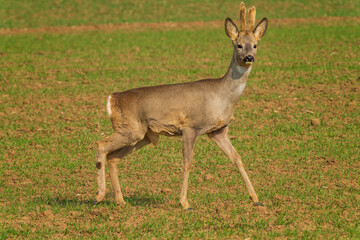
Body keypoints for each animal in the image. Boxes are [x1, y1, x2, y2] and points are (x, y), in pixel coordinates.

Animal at [94, 1, 268, 209]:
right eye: (238, 45)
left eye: (255, 45)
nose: (249, 57)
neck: (222, 97)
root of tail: (112, 99)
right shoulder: (190, 127)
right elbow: (187, 163)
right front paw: (185, 202)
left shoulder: (218, 131)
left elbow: (237, 158)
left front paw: (255, 198)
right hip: (130, 129)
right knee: (101, 144)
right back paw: (99, 195)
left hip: (142, 135)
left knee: (113, 157)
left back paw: (121, 200)